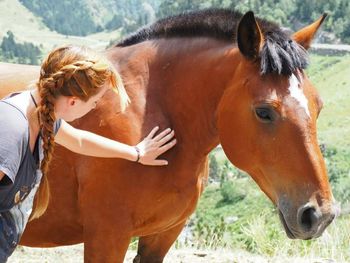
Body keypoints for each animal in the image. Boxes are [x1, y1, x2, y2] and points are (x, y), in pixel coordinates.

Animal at [0, 8, 340, 263]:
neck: (152, 108)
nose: (319, 215)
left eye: (319, 106)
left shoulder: (162, 236)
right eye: (264, 111)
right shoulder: (107, 236)